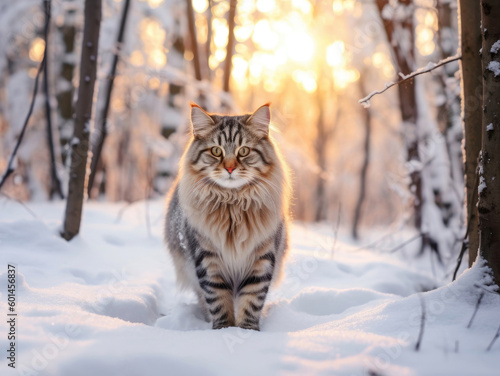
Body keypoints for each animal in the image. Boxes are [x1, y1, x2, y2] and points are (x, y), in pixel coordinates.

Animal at [165, 104, 290, 330]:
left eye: (244, 151)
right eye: (216, 151)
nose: (230, 168)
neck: (233, 204)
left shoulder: (261, 257)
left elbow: (252, 301)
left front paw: (247, 331)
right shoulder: (207, 258)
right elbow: (218, 301)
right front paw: (223, 330)